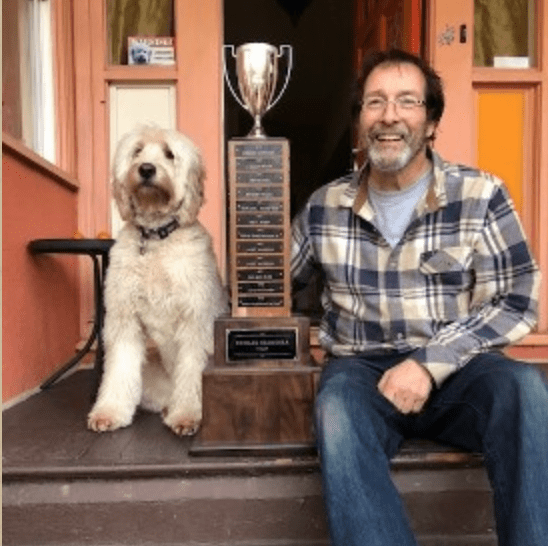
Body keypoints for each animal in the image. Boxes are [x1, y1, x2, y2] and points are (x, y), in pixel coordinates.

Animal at [87, 123, 227, 434]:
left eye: (169, 154)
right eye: (137, 151)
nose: (146, 169)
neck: (155, 238)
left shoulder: (196, 320)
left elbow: (191, 370)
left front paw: (187, 414)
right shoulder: (123, 318)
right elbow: (119, 368)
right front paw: (110, 412)